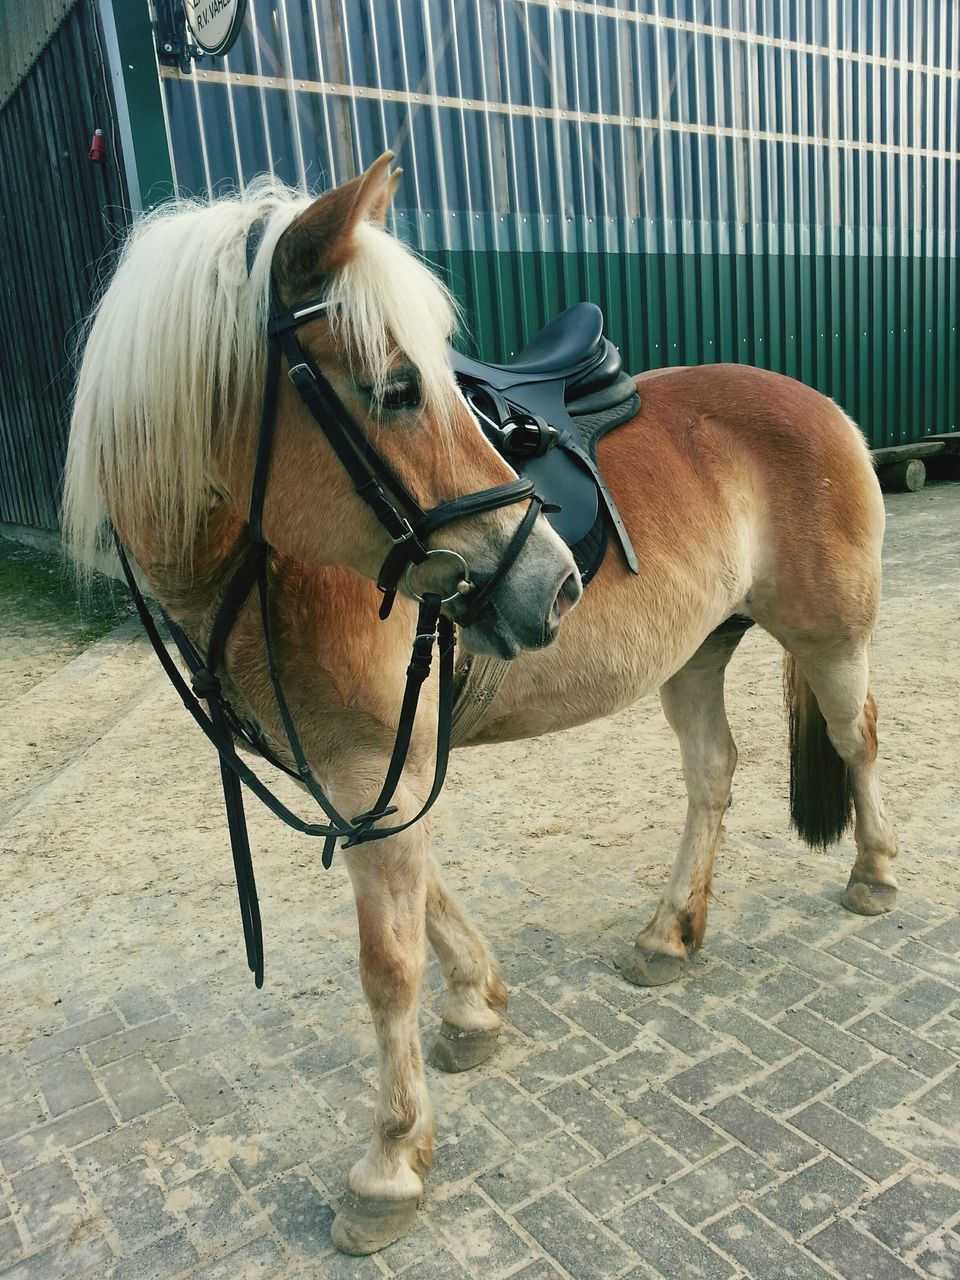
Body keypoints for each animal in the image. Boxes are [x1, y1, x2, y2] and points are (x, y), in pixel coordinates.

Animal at [65, 154, 901, 1254]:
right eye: (395, 386)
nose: (553, 583)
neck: (271, 568)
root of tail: (824, 406)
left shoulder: (376, 767)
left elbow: (387, 965)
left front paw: (389, 1161)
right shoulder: (363, 777)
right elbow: (426, 900)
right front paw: (476, 1006)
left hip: (830, 638)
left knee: (857, 739)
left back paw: (875, 873)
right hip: (695, 654)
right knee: (713, 774)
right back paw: (670, 932)